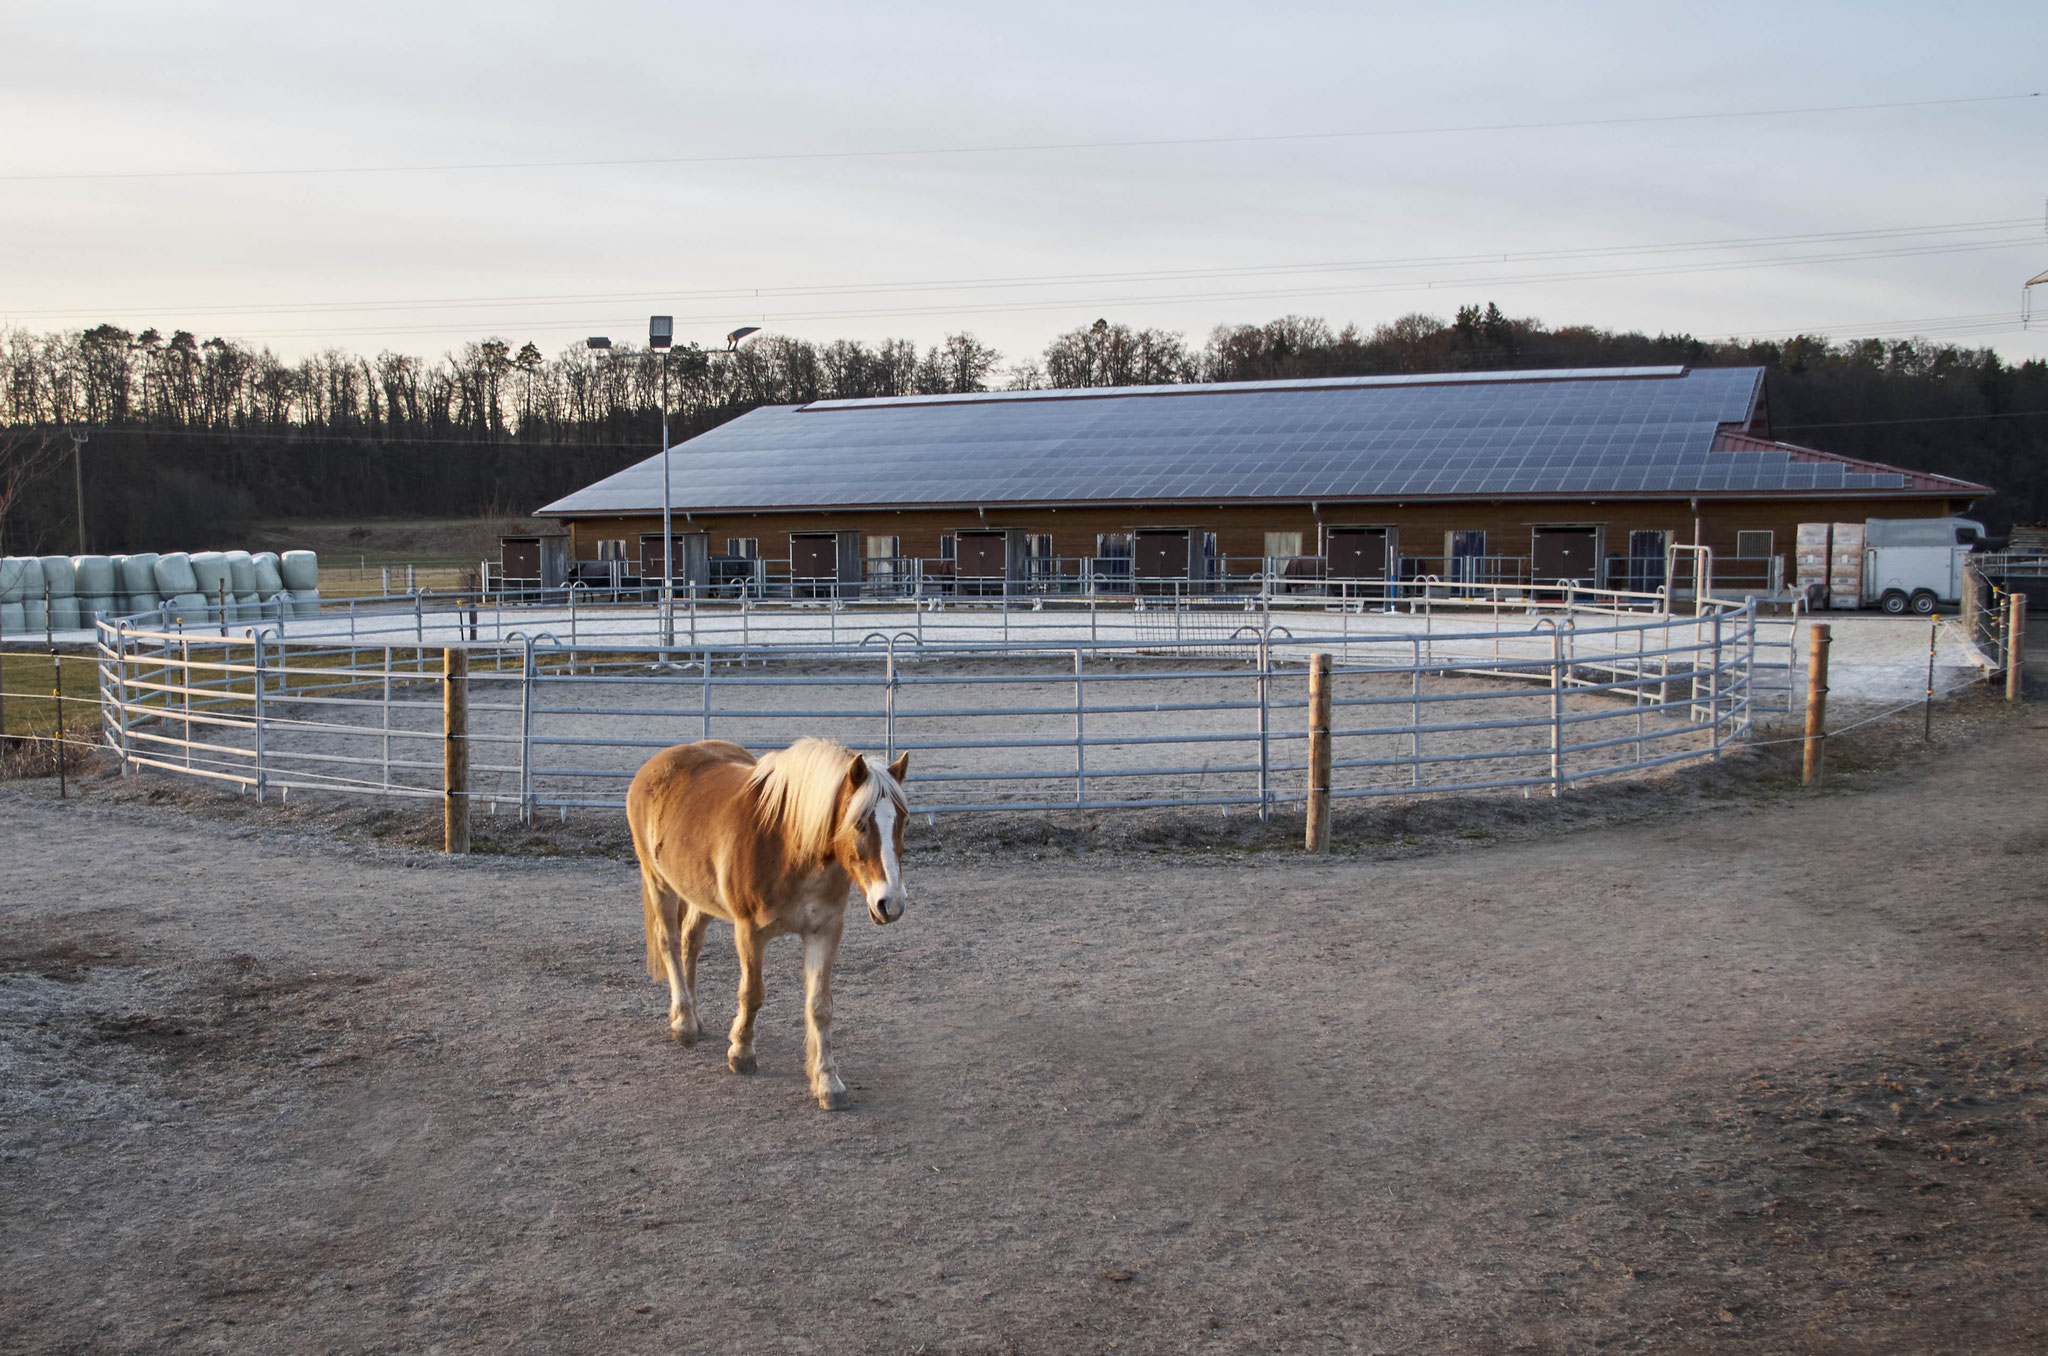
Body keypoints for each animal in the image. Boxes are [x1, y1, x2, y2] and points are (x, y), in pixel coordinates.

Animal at [622, 737, 913, 1114]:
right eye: (860, 823)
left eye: (904, 821)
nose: (890, 903)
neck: (789, 844)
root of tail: (657, 763)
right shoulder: (749, 932)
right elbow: (753, 993)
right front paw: (741, 1053)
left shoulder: (825, 932)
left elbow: (820, 1007)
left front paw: (828, 1082)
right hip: (659, 882)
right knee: (669, 942)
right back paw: (684, 1022)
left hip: (700, 895)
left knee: (690, 942)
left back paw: (693, 1017)